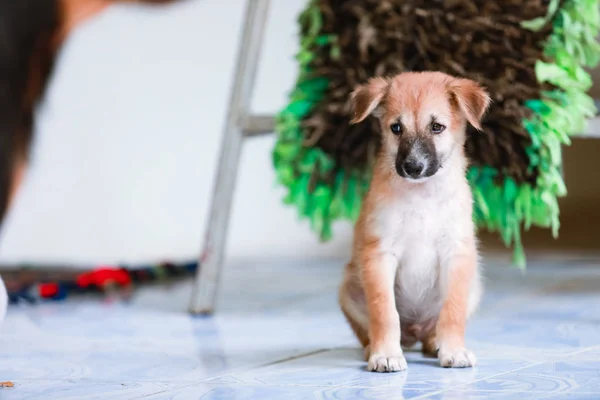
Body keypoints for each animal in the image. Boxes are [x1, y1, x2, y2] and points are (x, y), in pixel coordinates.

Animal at [340, 71, 490, 372]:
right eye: (396, 128)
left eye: (437, 127)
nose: (412, 167)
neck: (422, 197)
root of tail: (415, 332)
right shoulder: (380, 254)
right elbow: (384, 311)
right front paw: (385, 354)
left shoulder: (457, 254)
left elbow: (453, 310)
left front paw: (454, 351)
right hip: (348, 289)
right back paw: (373, 348)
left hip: (474, 286)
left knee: (435, 328)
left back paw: (436, 343)